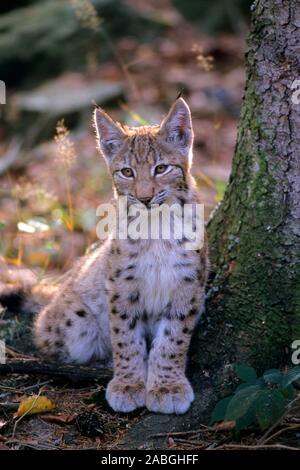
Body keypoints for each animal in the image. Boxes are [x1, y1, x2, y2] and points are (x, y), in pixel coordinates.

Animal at [33, 98, 209, 412]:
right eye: (127, 172)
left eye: (161, 168)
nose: (145, 198)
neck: (156, 224)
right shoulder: (121, 285)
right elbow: (126, 337)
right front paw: (128, 383)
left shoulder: (188, 284)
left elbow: (173, 339)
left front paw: (167, 386)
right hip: (72, 323)